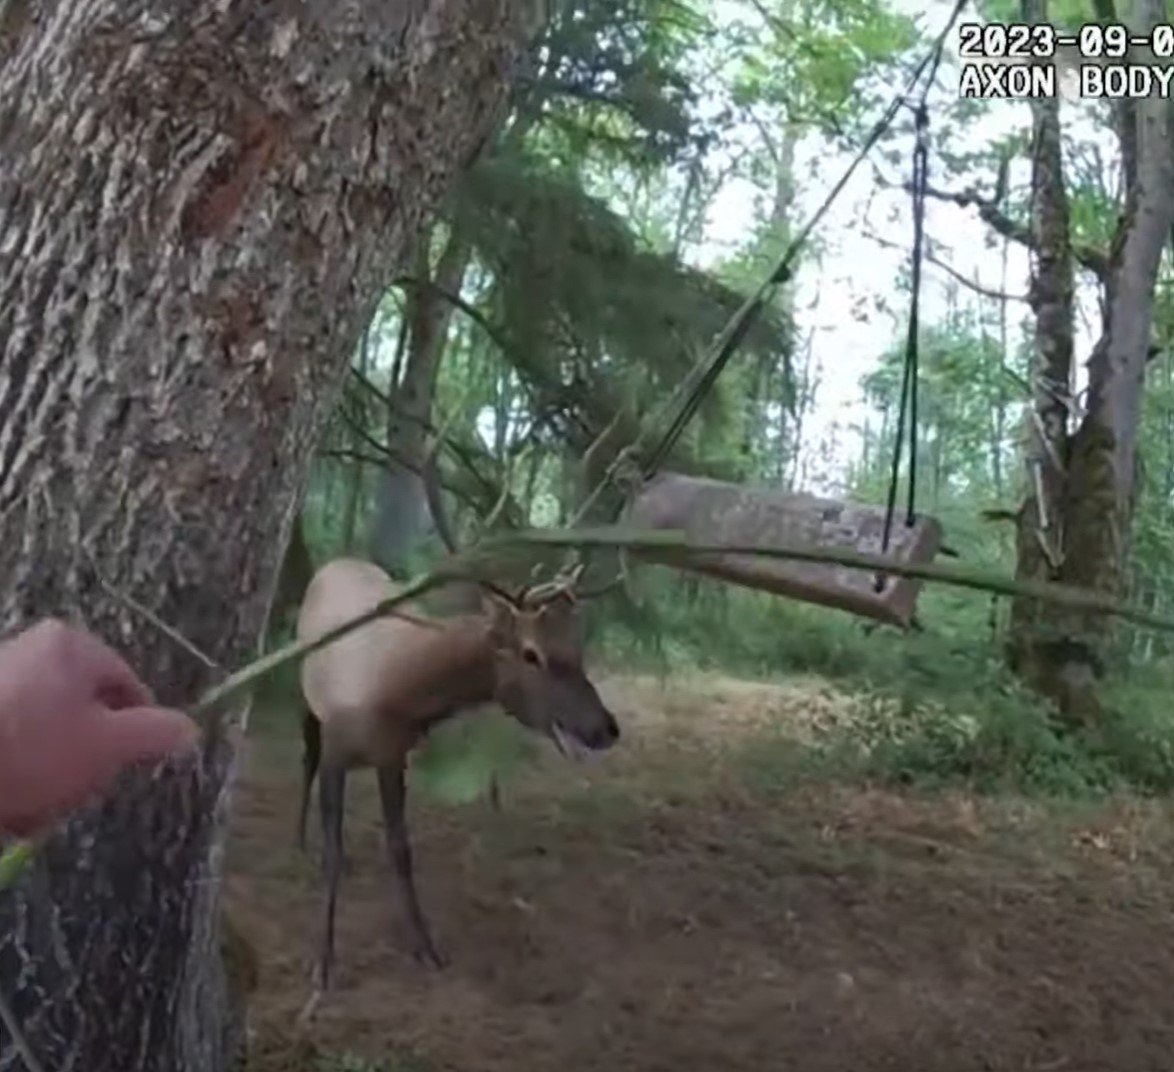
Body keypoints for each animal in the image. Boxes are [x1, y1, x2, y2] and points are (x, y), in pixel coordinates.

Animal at [298, 561, 619, 986]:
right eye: (531, 654)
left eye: (577, 650)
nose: (606, 728)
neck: (395, 690)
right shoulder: (336, 747)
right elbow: (333, 851)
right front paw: (323, 962)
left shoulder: (393, 755)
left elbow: (400, 850)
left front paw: (426, 947)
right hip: (306, 698)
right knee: (306, 759)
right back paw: (300, 842)